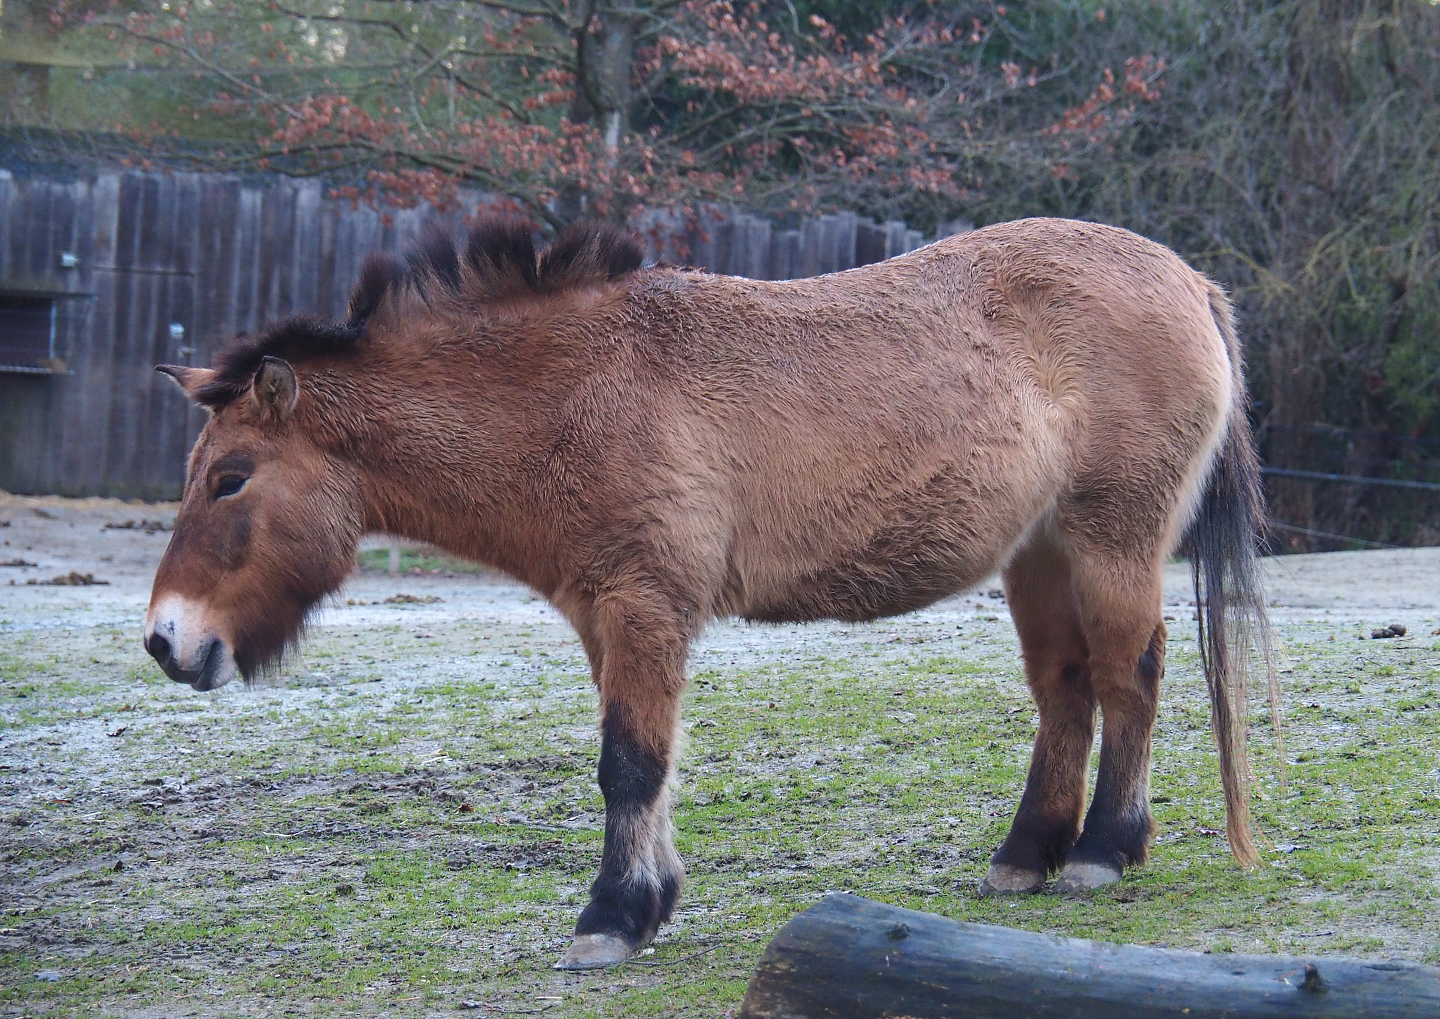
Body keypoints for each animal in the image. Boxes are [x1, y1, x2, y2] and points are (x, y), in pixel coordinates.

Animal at [144, 216, 1272, 969]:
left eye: (230, 477)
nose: (166, 639)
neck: (578, 389)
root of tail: (1189, 279)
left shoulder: (645, 606)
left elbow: (629, 765)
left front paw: (610, 918)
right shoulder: (606, 617)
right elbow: (642, 764)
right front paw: (650, 901)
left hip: (1110, 541)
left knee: (1130, 679)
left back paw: (1102, 852)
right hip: (1037, 555)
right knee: (1067, 691)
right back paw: (1027, 853)